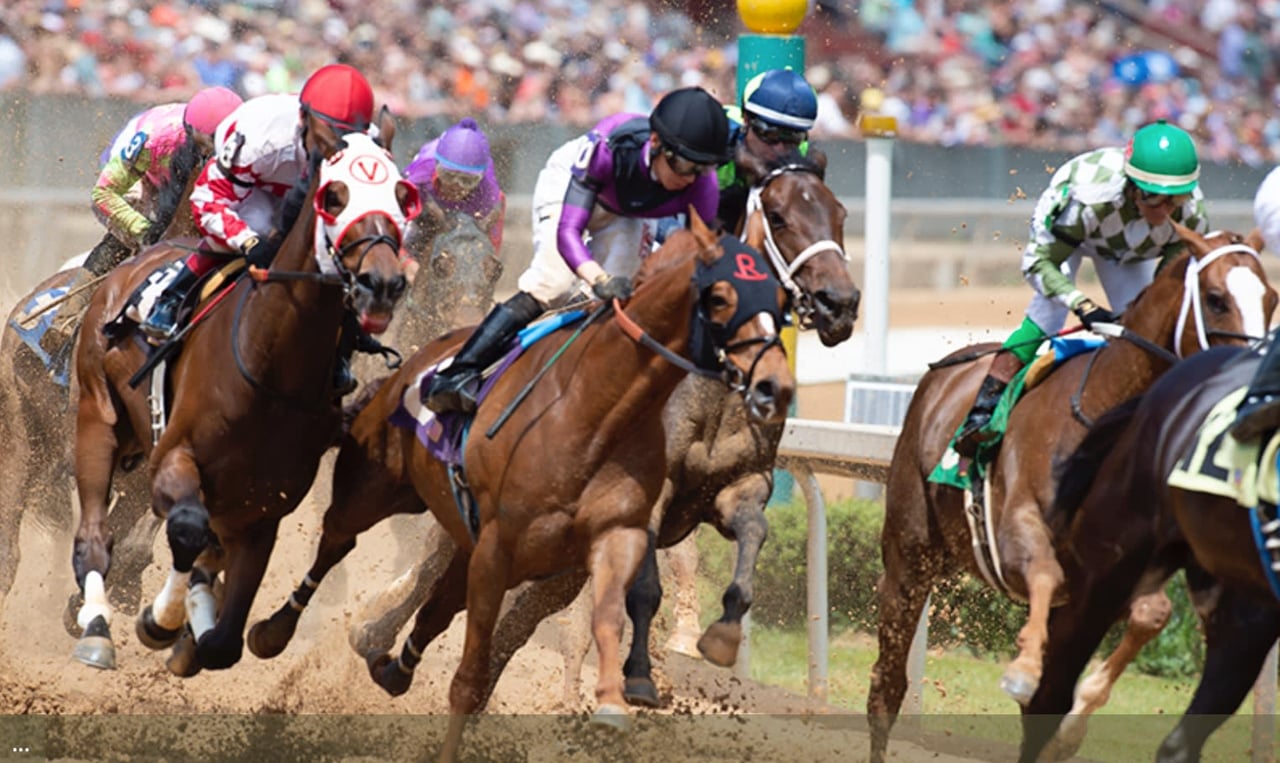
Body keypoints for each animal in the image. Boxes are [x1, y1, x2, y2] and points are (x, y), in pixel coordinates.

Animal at [68, 120, 419, 675]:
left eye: (402, 196)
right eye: (334, 196)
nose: (382, 281)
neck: (271, 371)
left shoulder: (262, 511)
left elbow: (223, 642)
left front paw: (188, 631)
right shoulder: (173, 460)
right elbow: (188, 529)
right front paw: (162, 621)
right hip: (98, 418)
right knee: (94, 538)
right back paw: (98, 627)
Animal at [244, 211, 793, 757]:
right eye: (439, 263)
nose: (773, 385)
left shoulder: (726, 489)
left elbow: (741, 534)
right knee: (407, 562)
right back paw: (354, 632)